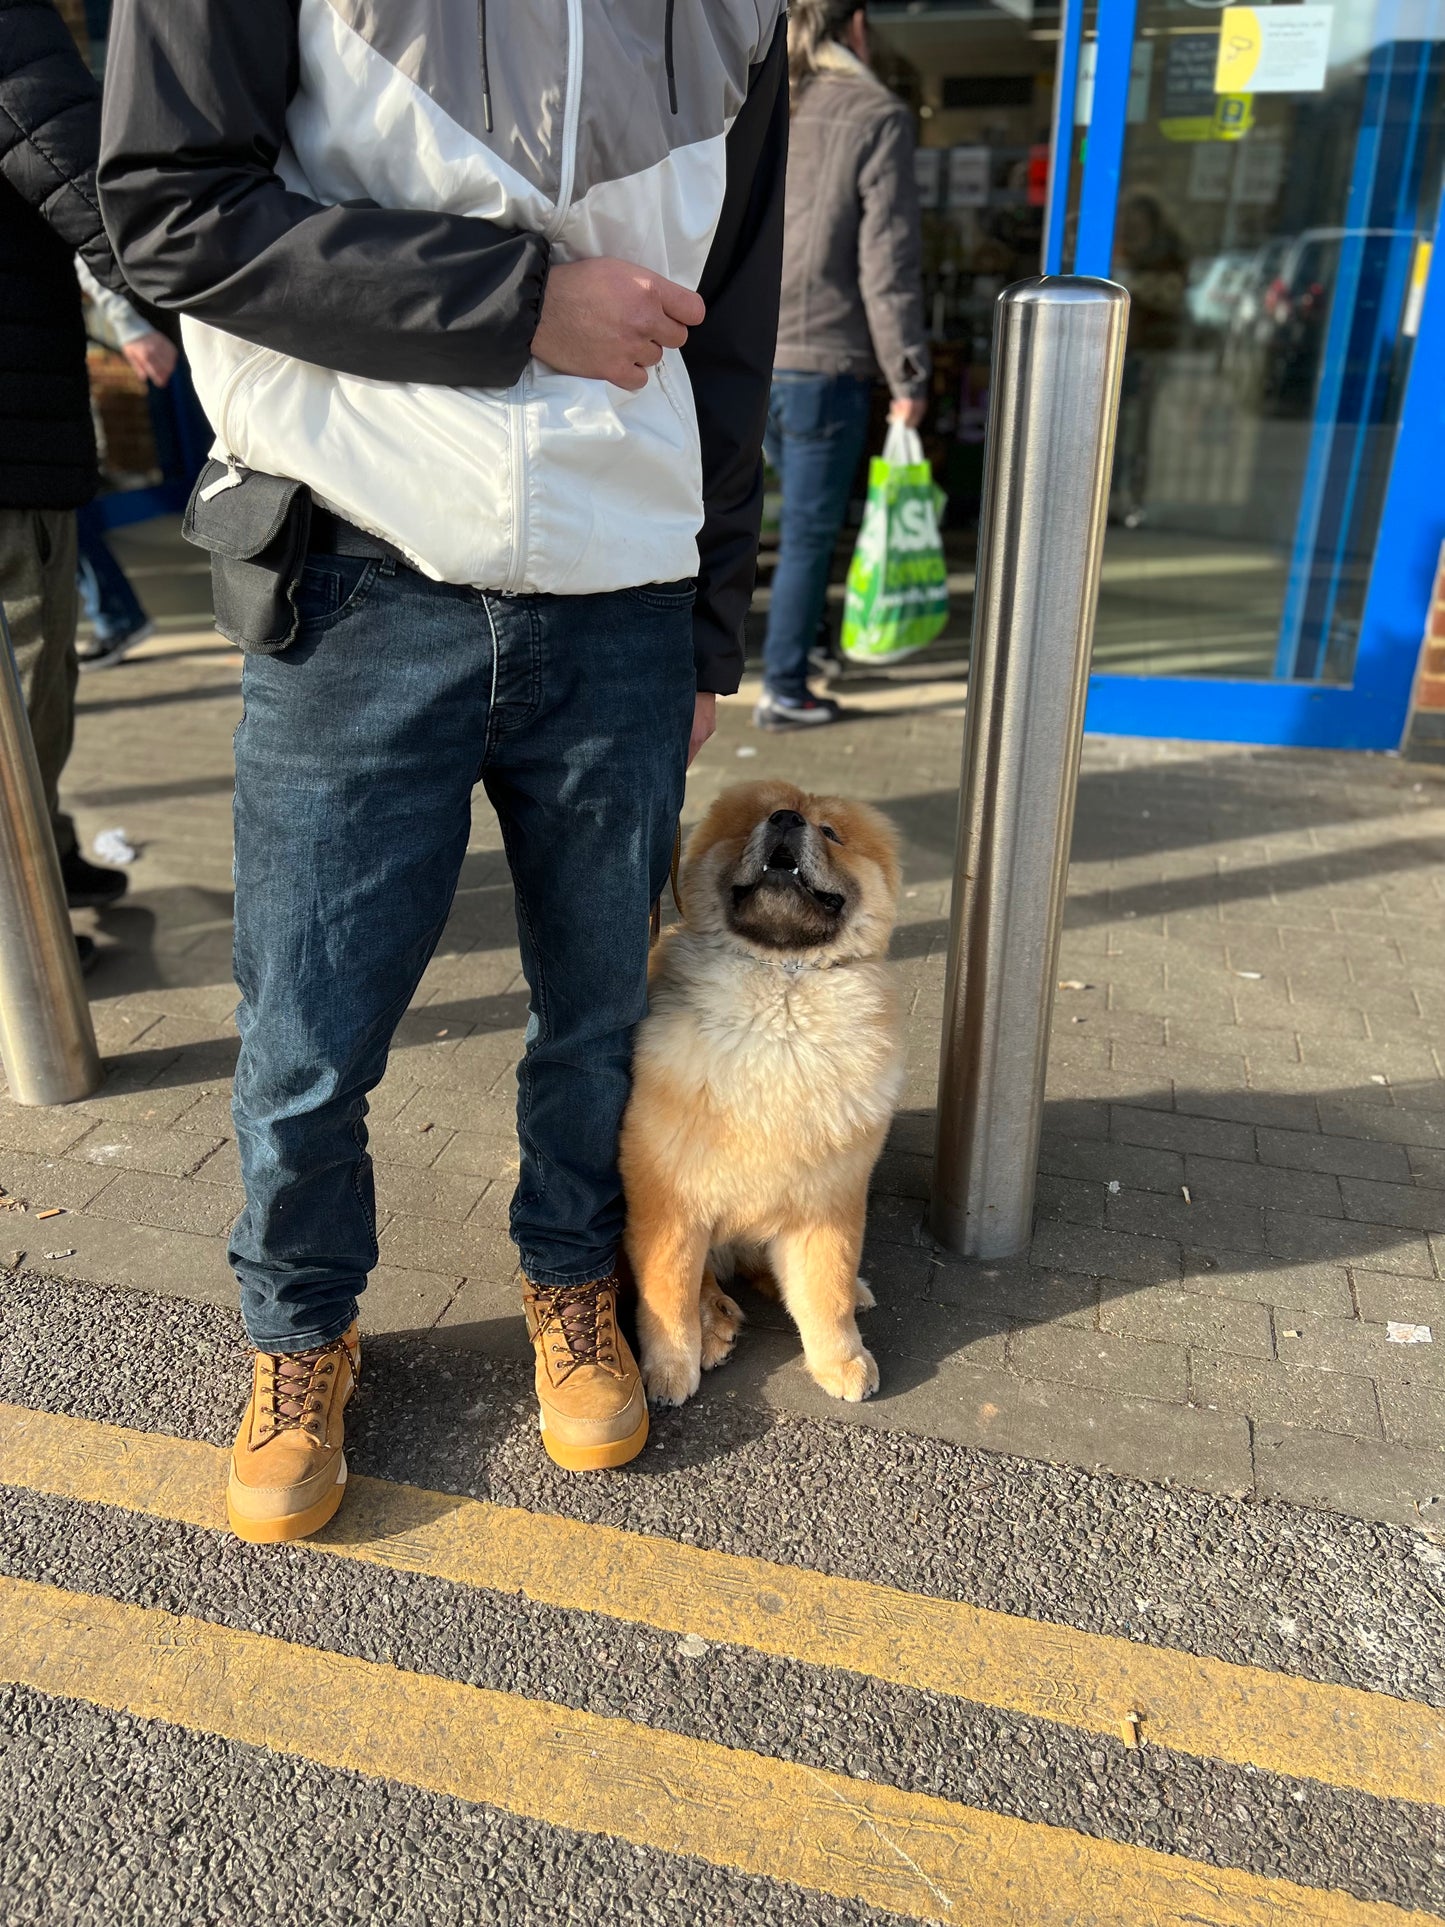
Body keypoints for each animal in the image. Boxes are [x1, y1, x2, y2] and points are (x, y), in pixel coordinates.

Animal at [624, 778, 905, 1402]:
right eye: (755, 818)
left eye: (831, 832)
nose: (784, 819)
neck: (781, 987)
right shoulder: (669, 1196)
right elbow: (667, 1292)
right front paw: (669, 1368)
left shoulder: (829, 1198)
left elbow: (825, 1288)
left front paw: (841, 1359)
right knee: (704, 1277)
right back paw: (714, 1320)